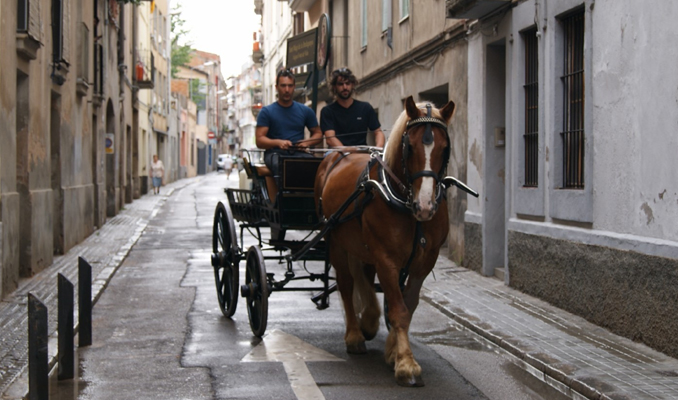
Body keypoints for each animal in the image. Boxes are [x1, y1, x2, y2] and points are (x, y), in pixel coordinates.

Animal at [314, 95, 456, 386]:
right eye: (409, 146)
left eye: (445, 148)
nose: (425, 206)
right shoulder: (386, 259)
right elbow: (398, 309)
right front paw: (406, 364)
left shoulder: (424, 261)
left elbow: (407, 306)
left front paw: (393, 351)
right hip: (335, 241)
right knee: (346, 284)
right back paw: (355, 335)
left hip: (362, 247)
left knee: (364, 280)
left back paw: (368, 321)